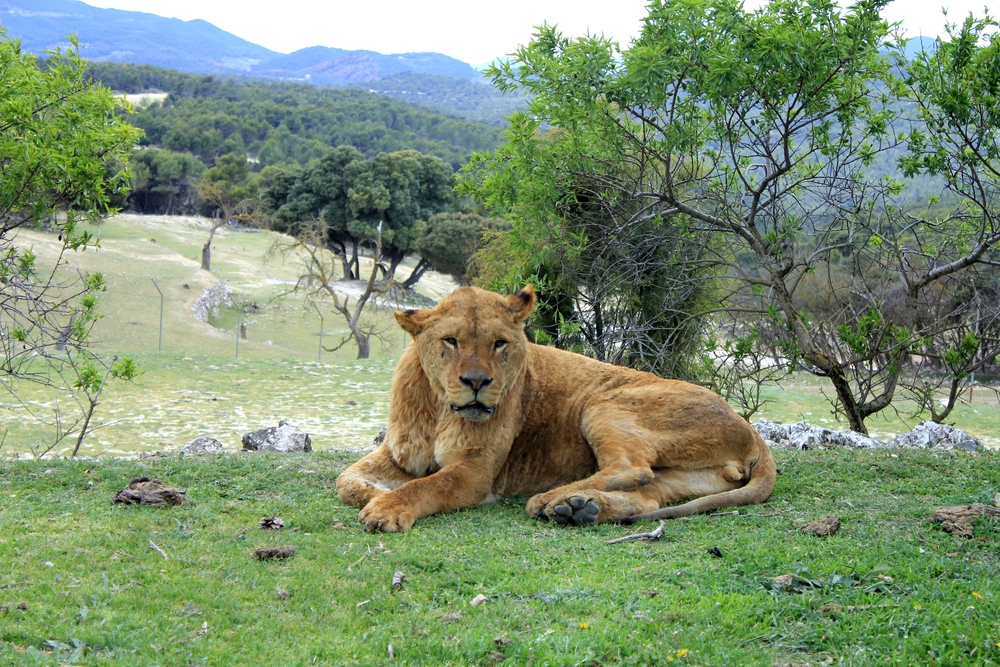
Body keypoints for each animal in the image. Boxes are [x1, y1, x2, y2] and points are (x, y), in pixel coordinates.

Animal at [336, 286, 772, 532]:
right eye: (451, 341)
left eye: (499, 344)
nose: (477, 383)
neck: (439, 407)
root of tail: (754, 434)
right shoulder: (399, 454)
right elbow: (347, 481)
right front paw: (376, 493)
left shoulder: (477, 470)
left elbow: (428, 485)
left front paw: (387, 508)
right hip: (682, 476)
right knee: (647, 494)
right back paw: (581, 509)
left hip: (604, 402)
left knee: (631, 467)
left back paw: (551, 501)